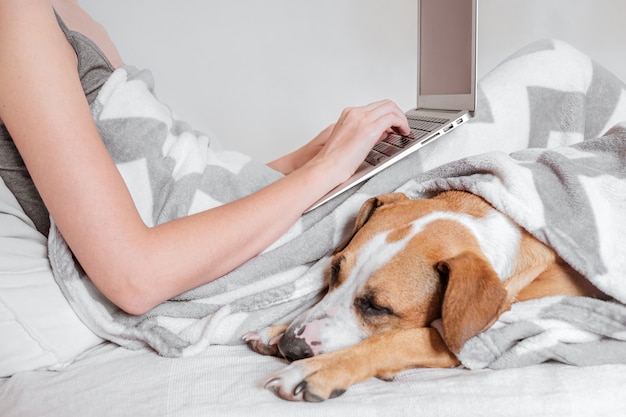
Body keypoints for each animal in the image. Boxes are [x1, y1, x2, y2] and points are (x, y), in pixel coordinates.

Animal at [241, 191, 604, 400]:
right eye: (334, 270)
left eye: (377, 307)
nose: (291, 346)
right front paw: (273, 332)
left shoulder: (472, 339)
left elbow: (395, 340)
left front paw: (318, 369)